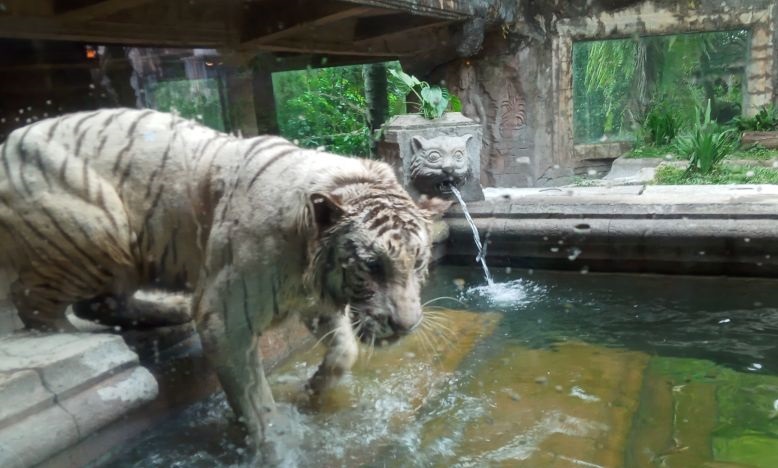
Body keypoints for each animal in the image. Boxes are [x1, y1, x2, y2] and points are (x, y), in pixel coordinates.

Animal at [0, 108, 450, 461]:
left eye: (418, 262)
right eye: (372, 265)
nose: (406, 326)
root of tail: (10, 141)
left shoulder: (315, 300)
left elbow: (345, 351)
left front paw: (313, 389)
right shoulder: (226, 319)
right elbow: (255, 400)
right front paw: (279, 448)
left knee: (99, 302)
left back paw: (171, 308)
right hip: (100, 226)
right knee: (37, 303)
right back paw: (71, 339)